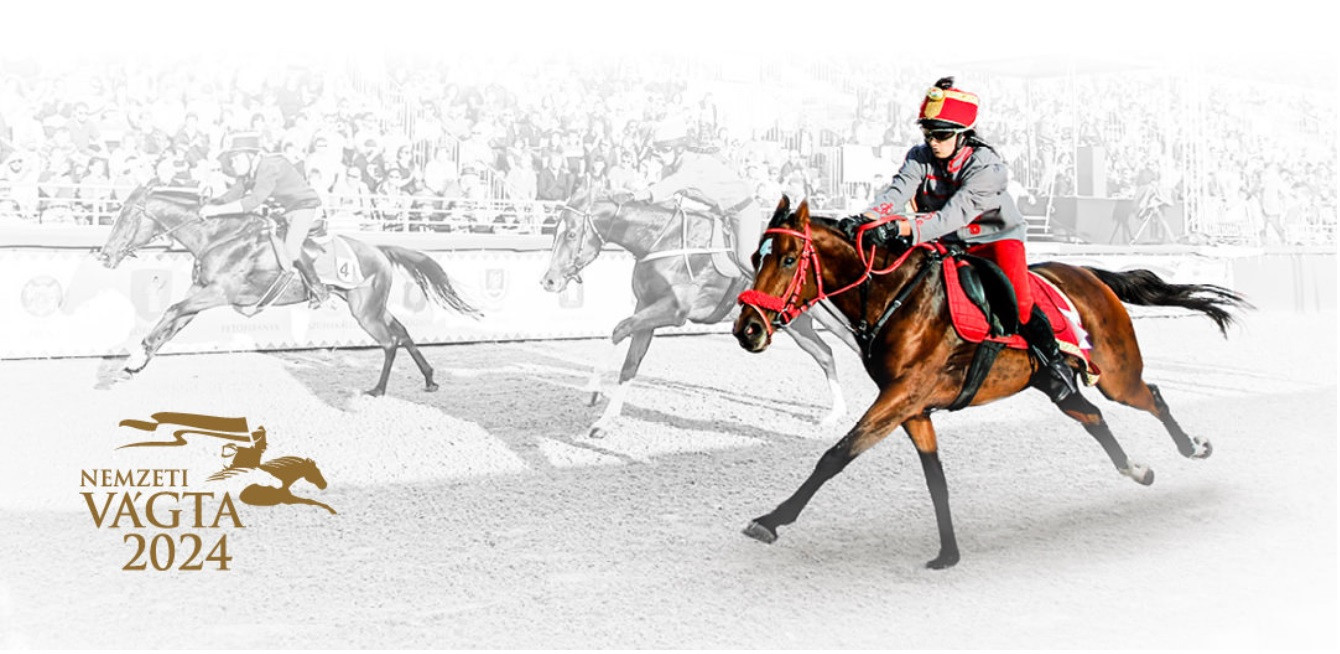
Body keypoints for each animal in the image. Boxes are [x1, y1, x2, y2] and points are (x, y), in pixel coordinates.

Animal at [97, 185, 481, 397]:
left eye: (125, 217)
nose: (104, 255)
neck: (220, 236)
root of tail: (379, 249)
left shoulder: (219, 293)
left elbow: (172, 310)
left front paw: (134, 358)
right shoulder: (201, 292)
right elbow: (171, 321)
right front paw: (136, 362)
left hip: (365, 311)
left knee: (389, 341)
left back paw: (379, 390)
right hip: (372, 305)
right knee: (401, 331)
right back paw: (429, 379)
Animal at [539, 187, 860, 437]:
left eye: (570, 234)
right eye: (554, 232)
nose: (549, 280)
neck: (660, 240)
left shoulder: (673, 311)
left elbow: (619, 329)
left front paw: (592, 389)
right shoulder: (647, 311)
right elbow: (630, 362)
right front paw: (605, 421)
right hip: (798, 323)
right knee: (825, 353)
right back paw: (836, 412)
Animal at [733, 198, 1248, 569]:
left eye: (789, 258)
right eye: (756, 256)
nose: (748, 328)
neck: (897, 297)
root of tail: (1088, 273)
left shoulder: (902, 395)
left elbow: (836, 455)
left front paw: (771, 520)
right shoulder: (913, 409)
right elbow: (935, 479)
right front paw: (948, 552)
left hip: (1118, 374)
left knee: (1151, 397)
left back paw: (1192, 447)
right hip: (1054, 384)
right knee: (1092, 415)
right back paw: (1136, 469)